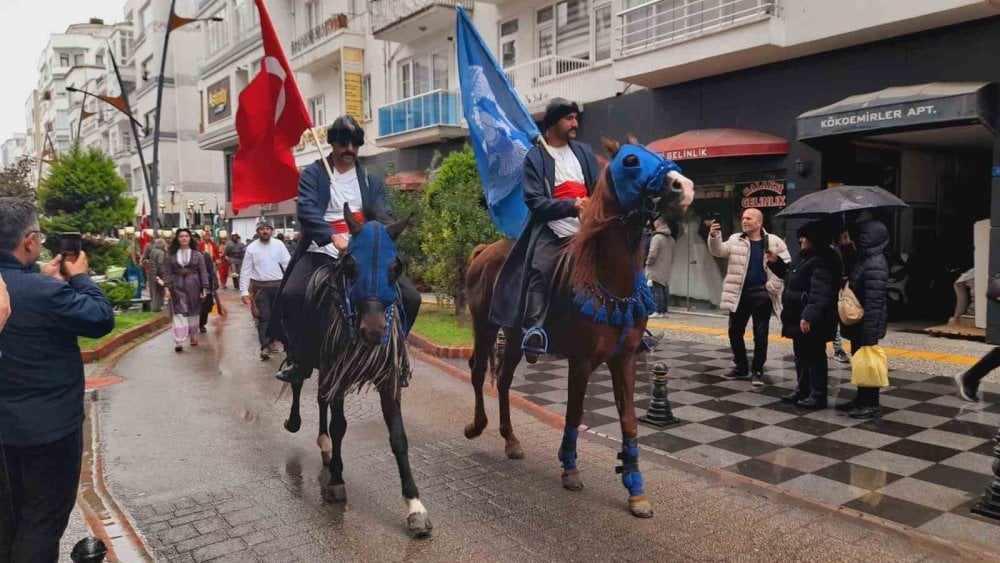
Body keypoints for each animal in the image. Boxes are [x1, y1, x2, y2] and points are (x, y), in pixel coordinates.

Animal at [464, 139, 692, 516]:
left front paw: (635, 488)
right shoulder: (582, 360)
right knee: (479, 370)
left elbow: (629, 420)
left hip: (514, 335)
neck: (609, 278)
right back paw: (476, 426)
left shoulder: (624, 358)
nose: (683, 187)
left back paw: (511, 439)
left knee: (505, 379)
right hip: (485, 326)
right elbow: (574, 413)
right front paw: (569, 468)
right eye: (630, 160)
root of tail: (484, 250)